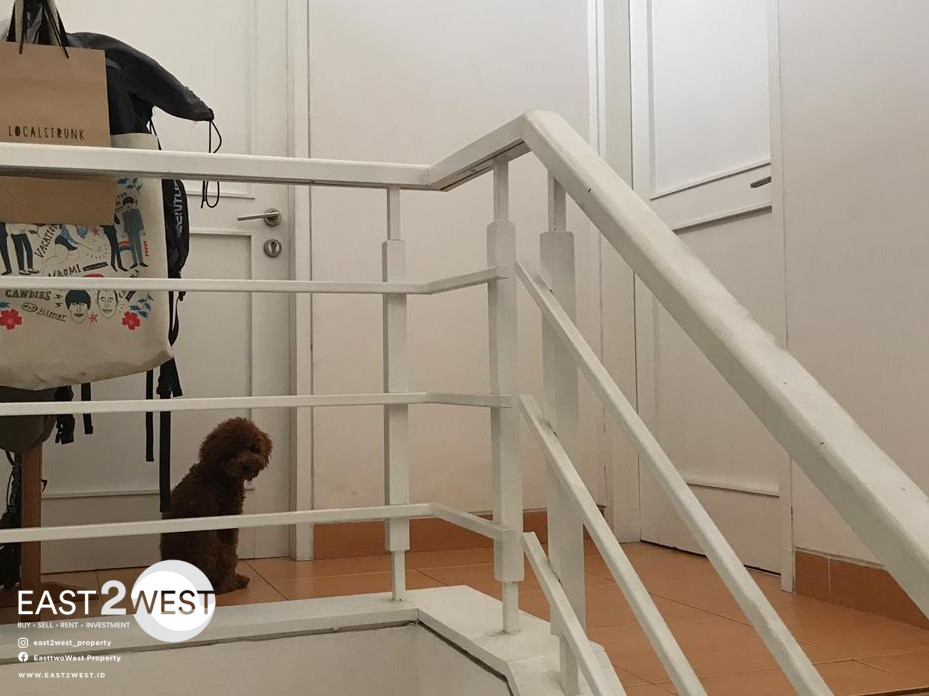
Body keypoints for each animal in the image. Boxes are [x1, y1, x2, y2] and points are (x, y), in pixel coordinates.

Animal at [159, 418, 271, 594]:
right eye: (231, 452)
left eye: (252, 447)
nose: (247, 465)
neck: (219, 473)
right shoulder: (230, 518)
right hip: (223, 553)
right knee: (221, 583)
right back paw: (237, 582)